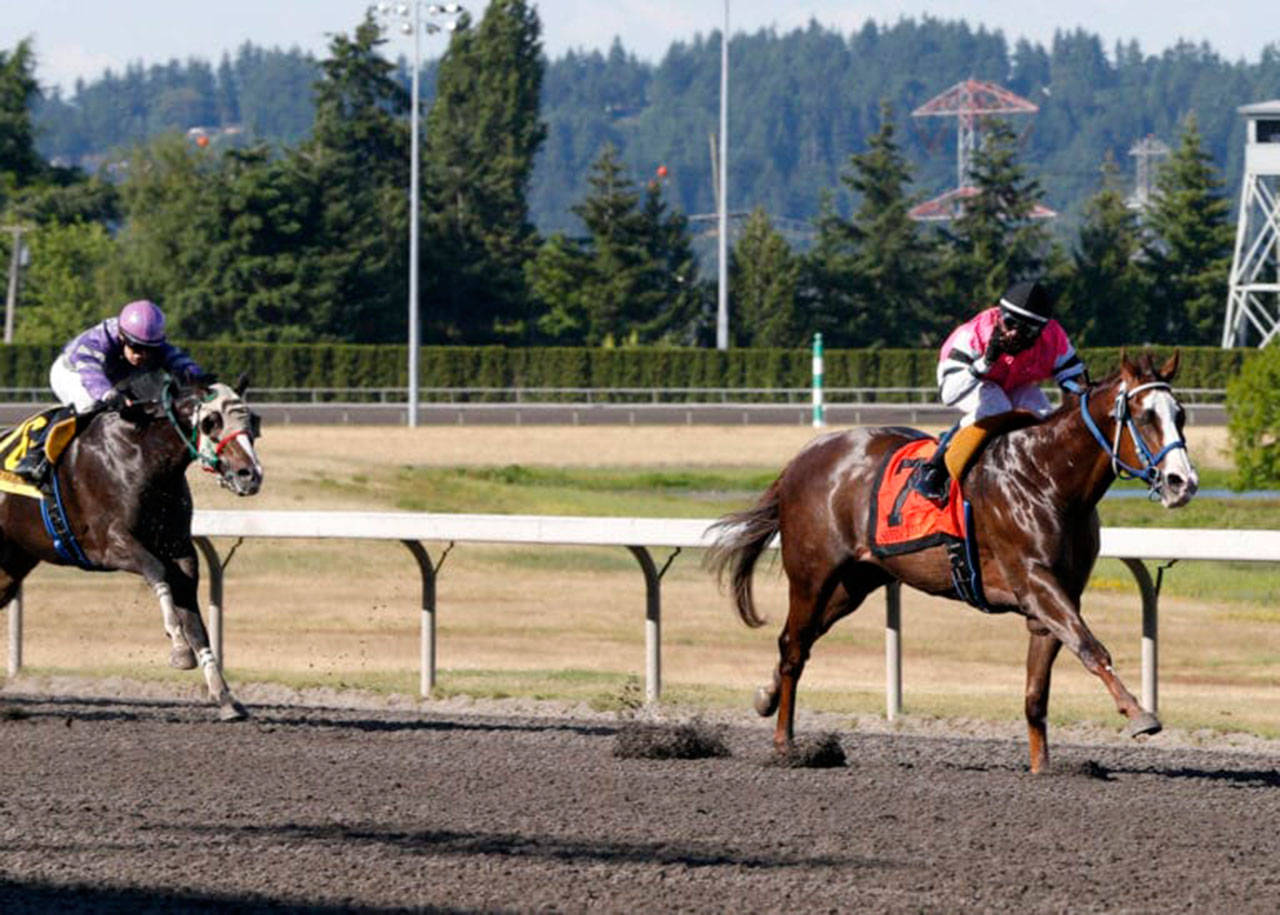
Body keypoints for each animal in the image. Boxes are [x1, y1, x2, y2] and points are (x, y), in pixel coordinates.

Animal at [0, 376, 262, 721]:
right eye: (211, 422)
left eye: (252, 421)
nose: (250, 475)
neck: (141, 455)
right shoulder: (109, 544)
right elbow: (156, 571)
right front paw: (179, 650)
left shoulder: (180, 550)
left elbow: (195, 621)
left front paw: (225, 697)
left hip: (14, 559)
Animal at [706, 350, 1192, 772]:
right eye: (1145, 416)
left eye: (1181, 414)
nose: (1181, 482)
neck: (1046, 478)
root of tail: (801, 458)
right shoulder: (1035, 582)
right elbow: (1092, 648)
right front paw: (1139, 713)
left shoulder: (1056, 598)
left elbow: (1037, 693)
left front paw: (1043, 768)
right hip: (813, 574)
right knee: (793, 647)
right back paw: (785, 744)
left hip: (853, 583)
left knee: (800, 641)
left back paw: (766, 697)